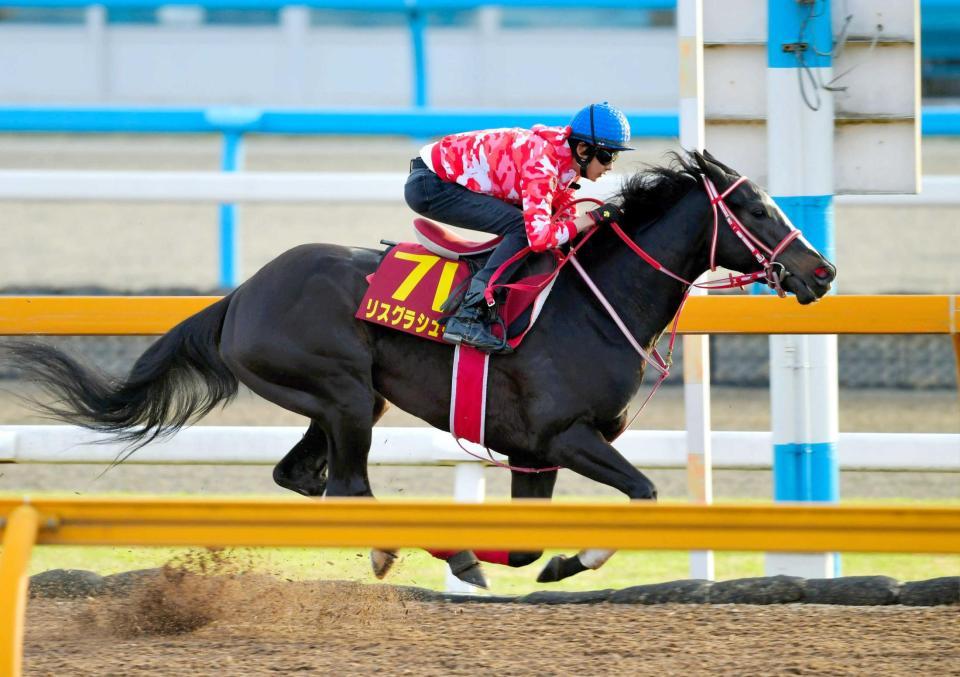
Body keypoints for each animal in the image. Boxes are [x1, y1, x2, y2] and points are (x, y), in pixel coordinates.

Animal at [5, 149, 832, 588]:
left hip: (347, 402)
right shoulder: (564, 436)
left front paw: (545, 562)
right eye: (757, 209)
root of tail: (240, 294)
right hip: (340, 392)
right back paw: (445, 550)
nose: (820, 270)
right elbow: (645, 493)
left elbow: (530, 543)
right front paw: (570, 557)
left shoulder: (532, 454)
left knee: (304, 477)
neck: (592, 304)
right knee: (347, 486)